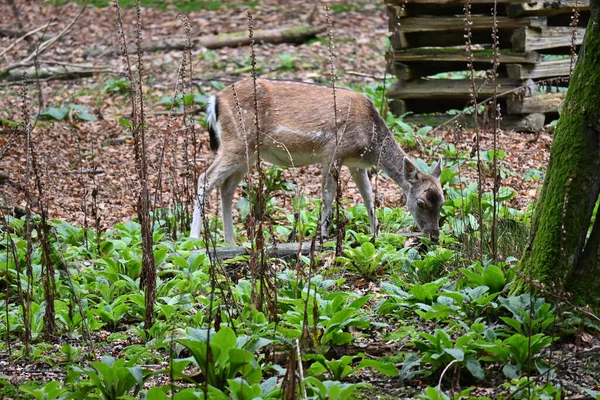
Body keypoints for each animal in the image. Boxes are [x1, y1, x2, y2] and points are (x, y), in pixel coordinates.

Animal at [190, 77, 442, 244]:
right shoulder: (333, 153)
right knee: (205, 178)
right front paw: (323, 237)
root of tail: (214, 101)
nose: (435, 236)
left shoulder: (356, 164)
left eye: (442, 201)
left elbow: (369, 198)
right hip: (236, 143)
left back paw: (231, 242)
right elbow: (328, 196)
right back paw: (193, 240)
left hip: (248, 154)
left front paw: (375, 234)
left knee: (226, 187)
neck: (369, 140)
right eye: (420, 203)